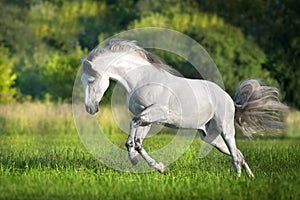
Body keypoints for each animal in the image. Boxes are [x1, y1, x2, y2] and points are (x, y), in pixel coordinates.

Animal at [81, 38, 288, 177]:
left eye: (90, 80)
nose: (90, 109)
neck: (140, 79)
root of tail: (229, 99)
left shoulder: (158, 112)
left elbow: (133, 128)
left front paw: (135, 158)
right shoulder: (147, 118)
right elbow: (138, 140)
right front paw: (159, 167)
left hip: (226, 130)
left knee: (235, 155)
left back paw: (238, 178)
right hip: (210, 137)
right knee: (238, 154)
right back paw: (249, 178)